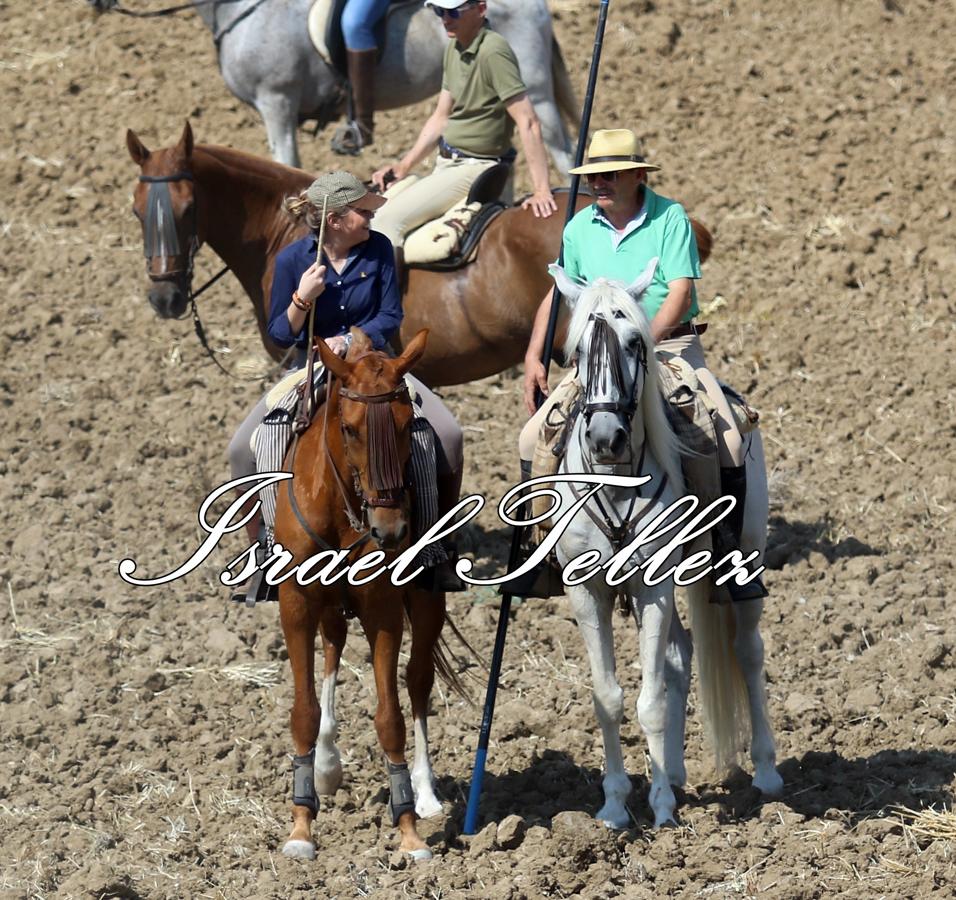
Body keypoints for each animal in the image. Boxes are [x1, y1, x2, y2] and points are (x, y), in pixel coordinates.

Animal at [274, 326, 458, 860]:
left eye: (404, 424)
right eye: (351, 428)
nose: (390, 529)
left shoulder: (382, 607)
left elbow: (390, 716)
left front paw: (409, 832)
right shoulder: (296, 602)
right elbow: (304, 711)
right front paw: (301, 827)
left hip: (427, 599)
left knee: (418, 681)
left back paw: (425, 792)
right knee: (333, 646)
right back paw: (326, 767)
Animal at [548, 266, 780, 828]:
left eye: (635, 343)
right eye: (576, 351)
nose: (606, 436)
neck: (614, 481)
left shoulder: (652, 587)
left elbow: (648, 701)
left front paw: (660, 810)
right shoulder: (587, 592)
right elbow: (608, 697)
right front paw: (614, 804)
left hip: (746, 560)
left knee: (747, 651)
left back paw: (765, 772)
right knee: (679, 656)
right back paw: (672, 772)